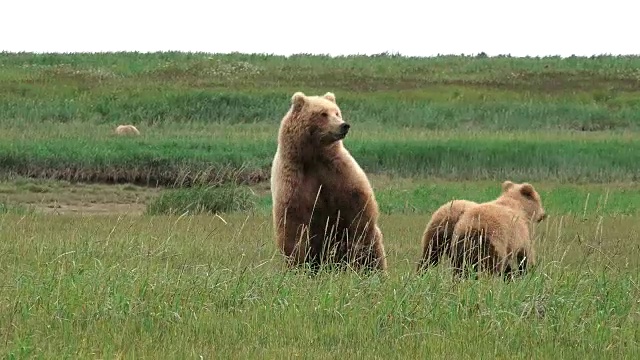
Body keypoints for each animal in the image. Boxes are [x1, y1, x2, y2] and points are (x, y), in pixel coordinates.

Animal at [268, 91, 388, 272]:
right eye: (323, 114)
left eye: (337, 112)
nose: (344, 125)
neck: (314, 156)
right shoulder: (294, 179)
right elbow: (293, 225)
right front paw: (298, 264)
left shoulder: (338, 171)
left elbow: (359, 204)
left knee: (373, 254)